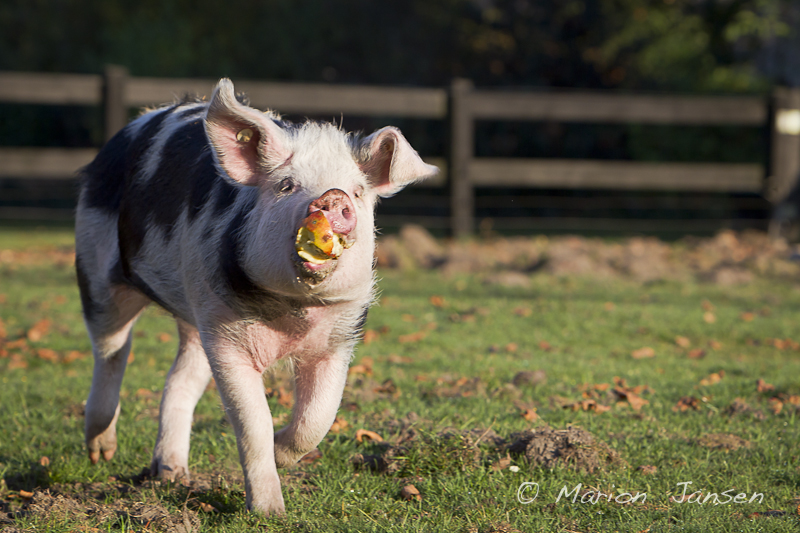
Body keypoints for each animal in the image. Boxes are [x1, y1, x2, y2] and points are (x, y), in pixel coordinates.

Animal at [75, 79, 438, 516]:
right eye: (286, 186)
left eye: (357, 191)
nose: (333, 198)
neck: (293, 311)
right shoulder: (229, 337)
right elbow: (253, 422)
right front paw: (270, 512)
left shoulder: (339, 337)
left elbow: (319, 415)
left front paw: (283, 454)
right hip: (95, 266)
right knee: (111, 349)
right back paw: (101, 454)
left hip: (197, 312)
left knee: (179, 379)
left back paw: (171, 474)